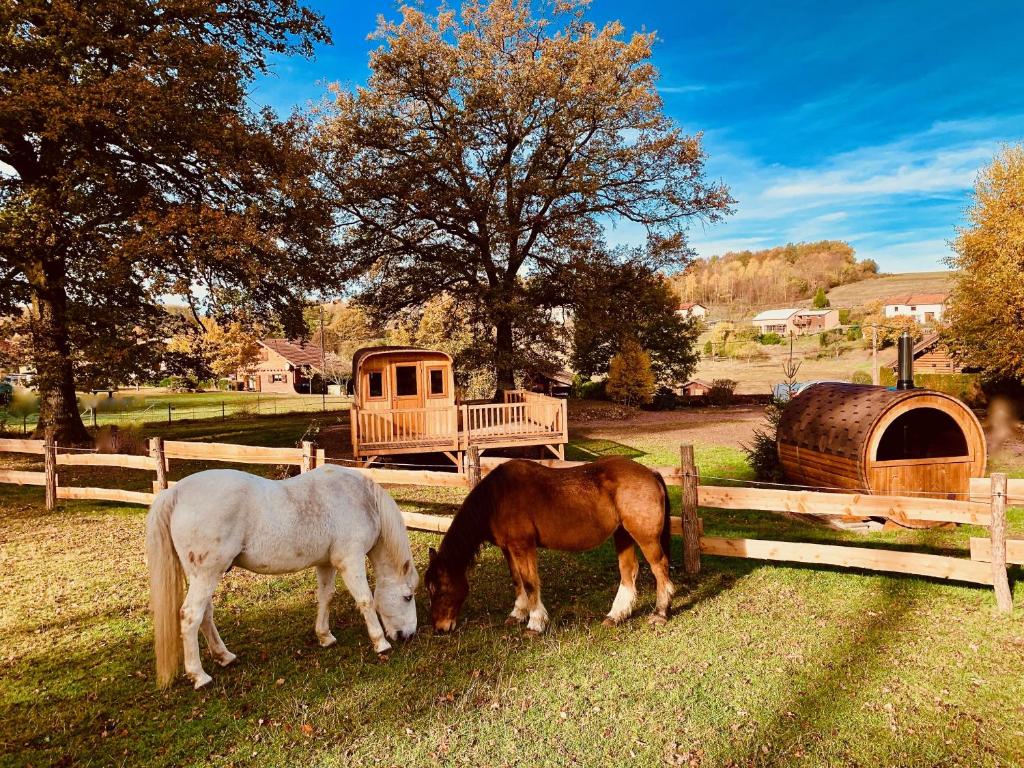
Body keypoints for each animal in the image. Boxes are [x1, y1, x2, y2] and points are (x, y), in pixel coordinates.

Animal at [143, 462, 415, 692]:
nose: (408, 635)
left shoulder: (326, 563)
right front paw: (380, 643)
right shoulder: (350, 560)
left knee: (205, 615)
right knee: (191, 616)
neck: (361, 499)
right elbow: (366, 600)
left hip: (203, 576)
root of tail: (175, 492)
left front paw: (324, 636)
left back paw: (224, 656)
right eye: (408, 597)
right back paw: (199, 676)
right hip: (206, 575)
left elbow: (326, 597)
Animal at [419, 460, 675, 634]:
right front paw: (518, 614)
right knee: (628, 571)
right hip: (622, 535)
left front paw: (535, 623)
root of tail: (650, 473)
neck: (496, 498)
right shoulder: (508, 548)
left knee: (659, 568)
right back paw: (616, 615)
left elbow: (530, 583)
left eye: (440, 590)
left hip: (645, 537)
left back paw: (660, 613)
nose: (440, 628)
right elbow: (517, 581)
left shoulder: (523, 546)